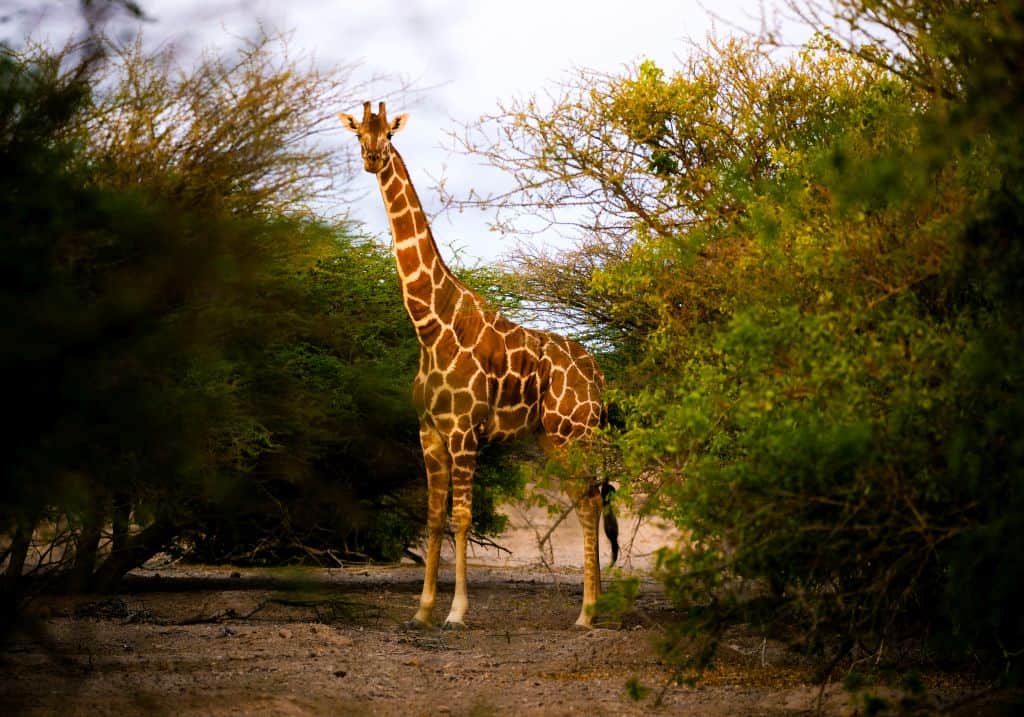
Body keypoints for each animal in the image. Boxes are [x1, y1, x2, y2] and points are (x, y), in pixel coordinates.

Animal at [342, 100, 614, 626]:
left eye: (389, 134)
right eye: (358, 134)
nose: (372, 157)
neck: (430, 323)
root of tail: (597, 373)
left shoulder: (465, 431)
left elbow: (462, 517)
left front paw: (457, 612)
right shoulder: (429, 431)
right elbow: (432, 517)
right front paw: (423, 610)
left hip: (577, 433)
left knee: (591, 499)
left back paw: (588, 614)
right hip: (552, 437)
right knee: (585, 500)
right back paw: (588, 609)